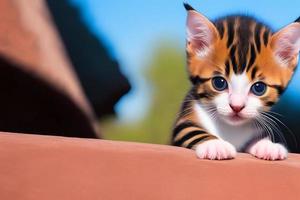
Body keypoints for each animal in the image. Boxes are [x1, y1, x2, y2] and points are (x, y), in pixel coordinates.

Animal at [171, 3, 300, 161]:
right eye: (219, 83)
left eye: (259, 88)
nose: (236, 107)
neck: (231, 128)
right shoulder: (184, 122)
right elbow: (192, 130)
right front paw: (215, 144)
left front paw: (267, 145)